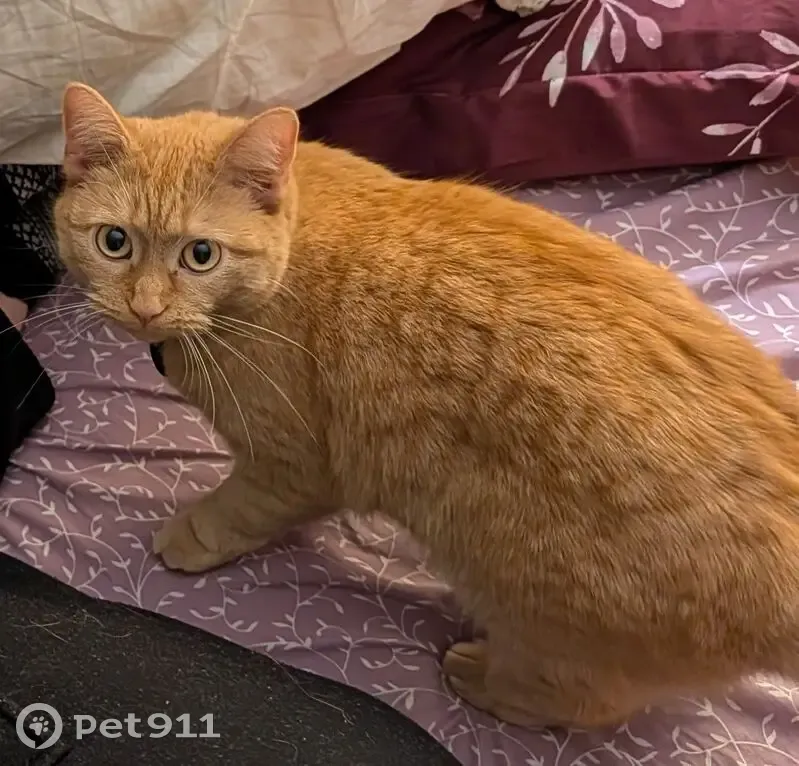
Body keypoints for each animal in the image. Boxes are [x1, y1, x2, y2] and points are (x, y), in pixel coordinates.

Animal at [54, 81, 799, 729]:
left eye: (201, 255)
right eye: (114, 242)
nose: (145, 308)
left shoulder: (293, 463)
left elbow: (238, 508)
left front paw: (191, 535)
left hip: (529, 598)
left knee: (586, 701)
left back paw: (481, 678)